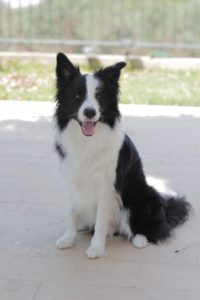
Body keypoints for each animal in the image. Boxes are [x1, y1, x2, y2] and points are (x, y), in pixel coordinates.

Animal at [54, 53, 190, 258]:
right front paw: (68, 238)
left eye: (99, 96)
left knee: (154, 229)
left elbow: (100, 221)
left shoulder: (106, 188)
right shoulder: (72, 181)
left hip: (141, 198)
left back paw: (140, 239)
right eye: (77, 95)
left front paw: (96, 248)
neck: (87, 142)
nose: (90, 112)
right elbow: (72, 212)